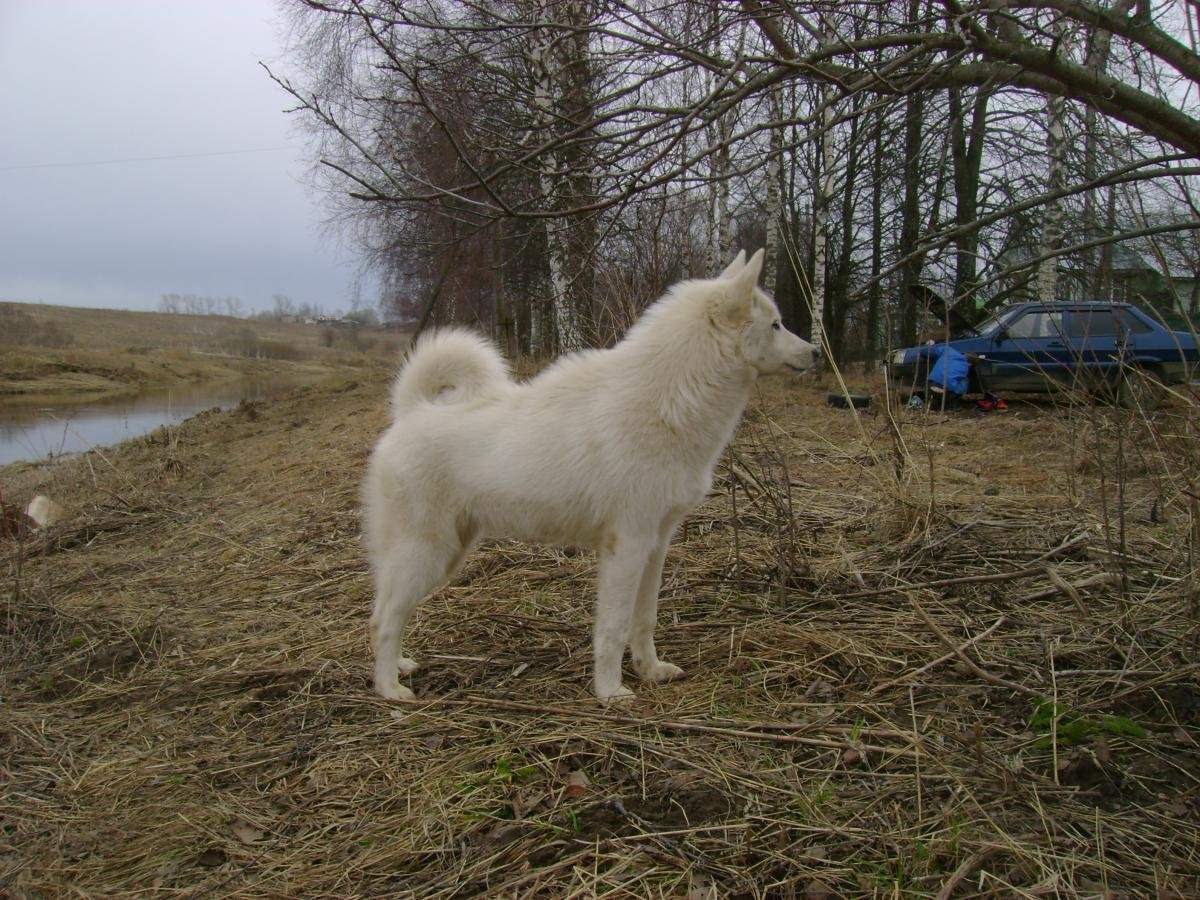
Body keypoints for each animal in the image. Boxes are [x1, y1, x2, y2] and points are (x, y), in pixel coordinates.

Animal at [362, 248, 816, 705]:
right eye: (776, 324)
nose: (815, 352)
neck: (666, 401)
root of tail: (411, 410)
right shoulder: (626, 547)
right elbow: (612, 630)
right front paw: (611, 692)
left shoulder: (655, 546)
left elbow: (644, 621)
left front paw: (650, 671)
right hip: (426, 554)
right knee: (383, 618)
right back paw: (390, 689)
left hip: (445, 554)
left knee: (389, 611)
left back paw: (400, 667)